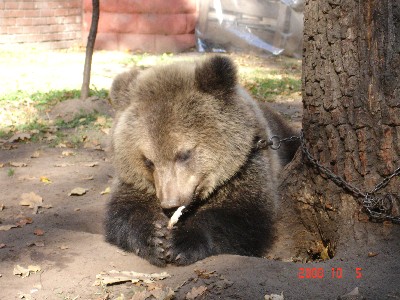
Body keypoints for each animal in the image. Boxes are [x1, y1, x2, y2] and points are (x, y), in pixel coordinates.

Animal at [104, 55, 298, 266]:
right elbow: (124, 210)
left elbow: (243, 215)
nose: (170, 204)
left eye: (184, 153)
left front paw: (180, 243)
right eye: (148, 160)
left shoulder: (247, 166)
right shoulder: (135, 183)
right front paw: (156, 240)